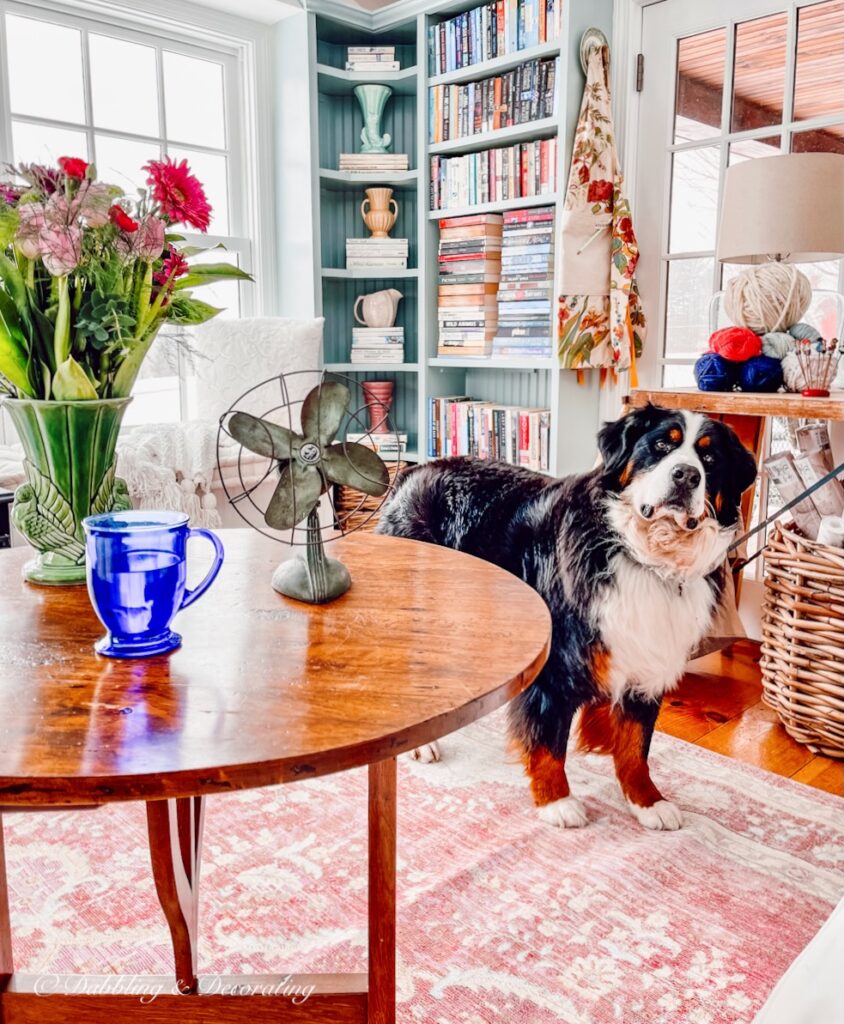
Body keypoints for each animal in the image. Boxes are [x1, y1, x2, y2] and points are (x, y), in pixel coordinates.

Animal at [374, 403, 757, 827]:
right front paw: (556, 800)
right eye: (660, 445)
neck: (644, 557)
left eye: (710, 459)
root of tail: (414, 471)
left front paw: (646, 800)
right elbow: (549, 740)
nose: (686, 475)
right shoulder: (556, 664)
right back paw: (420, 746)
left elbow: (636, 744)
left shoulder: (648, 659)